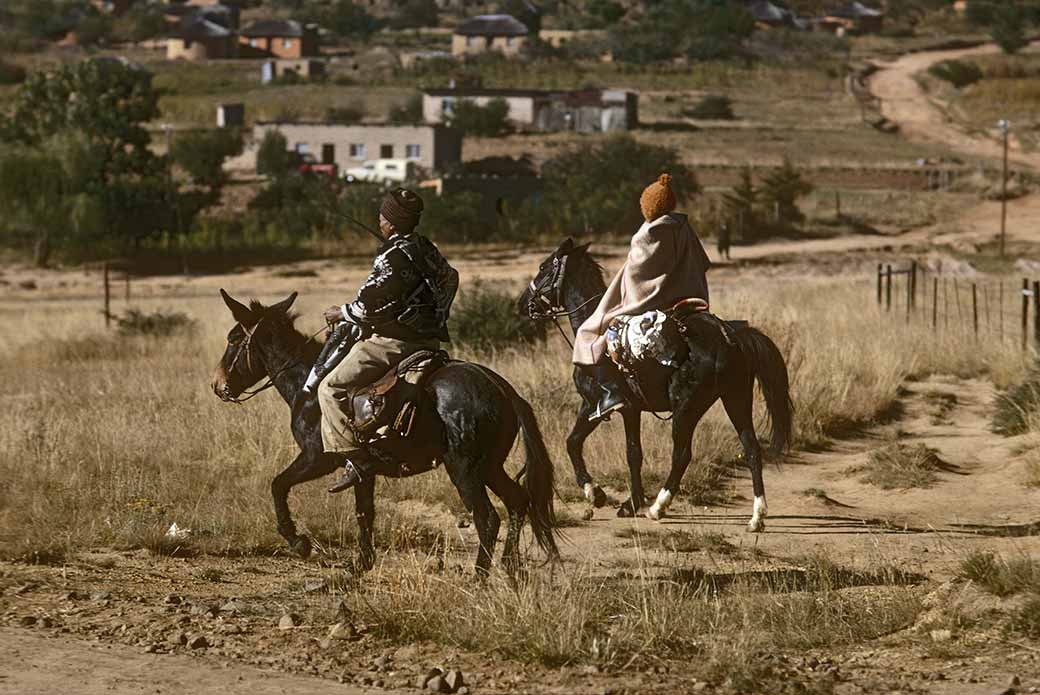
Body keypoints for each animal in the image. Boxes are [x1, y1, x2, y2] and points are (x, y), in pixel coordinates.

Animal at [205, 291, 557, 574]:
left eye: (233, 339)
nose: (217, 384)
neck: (309, 385)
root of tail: (502, 389)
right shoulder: (361, 469)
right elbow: (365, 512)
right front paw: (362, 563)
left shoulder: (317, 459)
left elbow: (278, 485)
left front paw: (298, 542)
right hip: (490, 466)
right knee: (518, 502)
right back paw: (511, 569)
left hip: (465, 469)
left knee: (487, 519)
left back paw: (480, 578)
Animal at [520, 240, 794, 532]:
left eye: (543, 267)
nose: (523, 303)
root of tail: (730, 338)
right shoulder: (611, 407)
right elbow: (597, 446)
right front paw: (621, 500)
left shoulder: (609, 405)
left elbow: (604, 448)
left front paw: (600, 495)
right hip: (736, 399)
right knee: (752, 448)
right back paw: (757, 516)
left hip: (687, 407)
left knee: (682, 454)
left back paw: (658, 507)